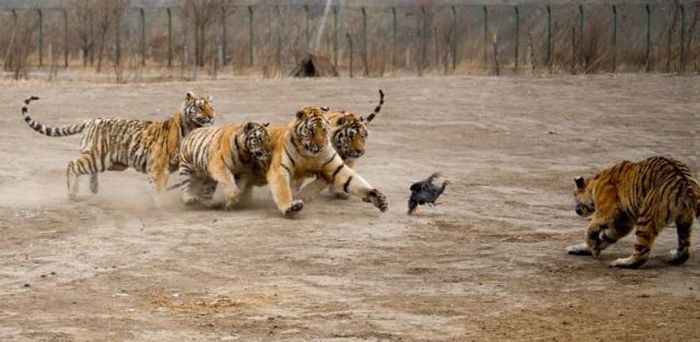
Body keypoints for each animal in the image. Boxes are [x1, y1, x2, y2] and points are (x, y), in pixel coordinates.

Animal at [20, 91, 215, 203]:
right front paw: (161, 203)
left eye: (211, 107)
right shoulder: (159, 165)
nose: (211, 117)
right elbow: (159, 186)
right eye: (199, 107)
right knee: (72, 165)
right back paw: (72, 192)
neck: (192, 127)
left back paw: (93, 188)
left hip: (105, 161)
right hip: (97, 157)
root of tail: (91, 120)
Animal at [568, 156, 700, 268]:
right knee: (685, 248)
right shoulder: (623, 222)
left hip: (646, 218)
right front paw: (582, 248)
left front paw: (593, 247)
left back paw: (621, 262)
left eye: (574, 195)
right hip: (685, 221)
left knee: (642, 255)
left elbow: (590, 229)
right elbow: (607, 236)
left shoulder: (606, 214)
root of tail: (687, 185)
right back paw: (675, 257)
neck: (595, 183)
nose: (576, 210)